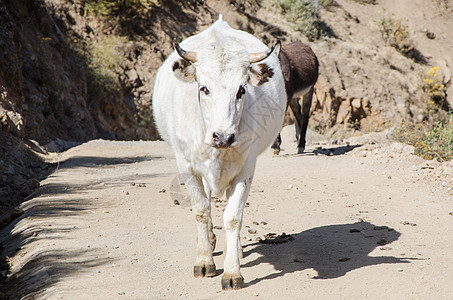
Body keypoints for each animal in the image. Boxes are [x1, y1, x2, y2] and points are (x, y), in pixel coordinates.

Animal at [152, 17, 286, 290]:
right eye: (204, 88)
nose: (223, 137)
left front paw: (232, 271)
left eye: (242, 90)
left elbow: (233, 216)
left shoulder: (246, 167)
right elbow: (201, 210)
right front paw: (204, 260)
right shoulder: (187, 166)